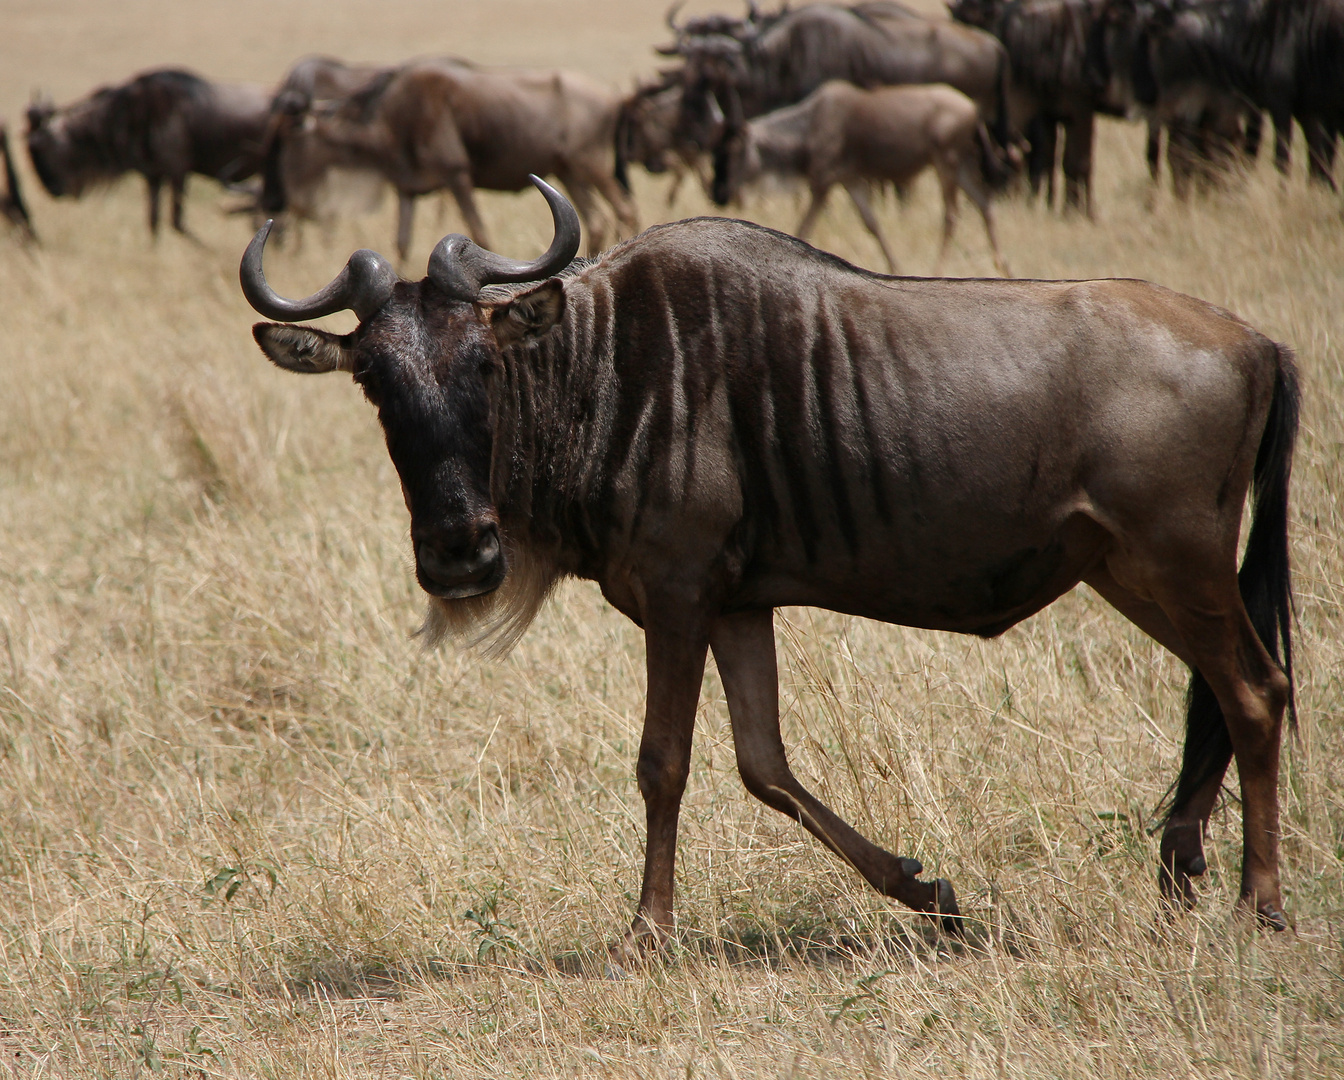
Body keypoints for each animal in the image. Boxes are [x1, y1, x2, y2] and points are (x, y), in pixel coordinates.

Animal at [715, 80, 1010, 274]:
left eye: (733, 150)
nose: (720, 195)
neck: (810, 126)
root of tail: (973, 109)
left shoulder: (823, 182)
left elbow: (803, 228)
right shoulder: (849, 179)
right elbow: (872, 224)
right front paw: (894, 266)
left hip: (945, 162)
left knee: (951, 215)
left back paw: (939, 269)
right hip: (961, 165)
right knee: (985, 204)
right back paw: (1001, 264)